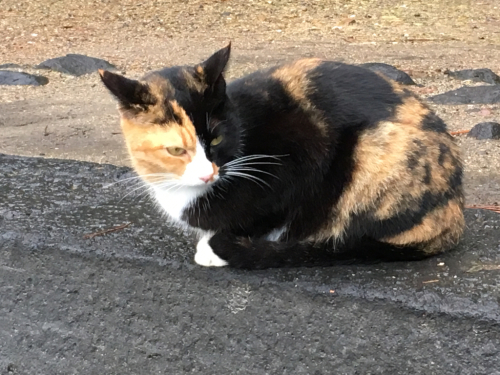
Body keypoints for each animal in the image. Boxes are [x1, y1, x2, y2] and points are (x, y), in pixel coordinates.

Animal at [98, 44, 464, 270]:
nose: (206, 173)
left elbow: (274, 213)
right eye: (176, 150)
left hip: (376, 149)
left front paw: (218, 248)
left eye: (216, 137)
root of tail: (455, 207)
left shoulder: (300, 155)